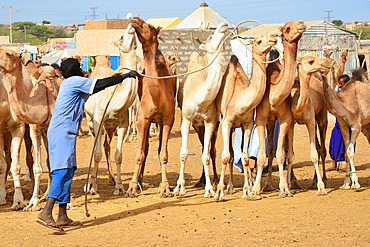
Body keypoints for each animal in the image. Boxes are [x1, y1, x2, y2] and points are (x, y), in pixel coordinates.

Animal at [124, 17, 176, 198]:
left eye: (151, 26)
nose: (135, 20)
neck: (157, 96)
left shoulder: (168, 119)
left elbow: (164, 154)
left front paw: (165, 188)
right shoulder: (143, 119)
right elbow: (140, 153)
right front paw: (132, 187)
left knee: (159, 147)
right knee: (145, 147)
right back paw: (139, 180)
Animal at [173, 22, 228, 198]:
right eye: (210, 37)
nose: (223, 25)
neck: (200, 98)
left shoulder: (210, 121)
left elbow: (207, 156)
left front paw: (210, 189)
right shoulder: (186, 120)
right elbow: (183, 154)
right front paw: (179, 188)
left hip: (213, 125)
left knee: (212, 151)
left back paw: (214, 181)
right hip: (197, 126)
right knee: (205, 147)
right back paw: (200, 181)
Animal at [214, 33, 278, 200]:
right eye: (259, 40)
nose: (274, 38)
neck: (240, 97)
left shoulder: (248, 123)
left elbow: (245, 157)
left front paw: (248, 190)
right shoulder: (227, 121)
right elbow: (225, 156)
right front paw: (219, 192)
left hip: (240, 127)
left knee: (239, 153)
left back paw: (236, 186)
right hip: (226, 121)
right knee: (229, 154)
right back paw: (227, 188)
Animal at [254, 20, 306, 199]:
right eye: (288, 28)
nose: (301, 24)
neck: (274, 94)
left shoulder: (285, 118)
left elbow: (281, 154)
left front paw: (284, 189)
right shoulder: (261, 118)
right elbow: (263, 155)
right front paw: (255, 190)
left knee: (285, 151)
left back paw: (292, 182)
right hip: (270, 122)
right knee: (270, 151)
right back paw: (268, 184)